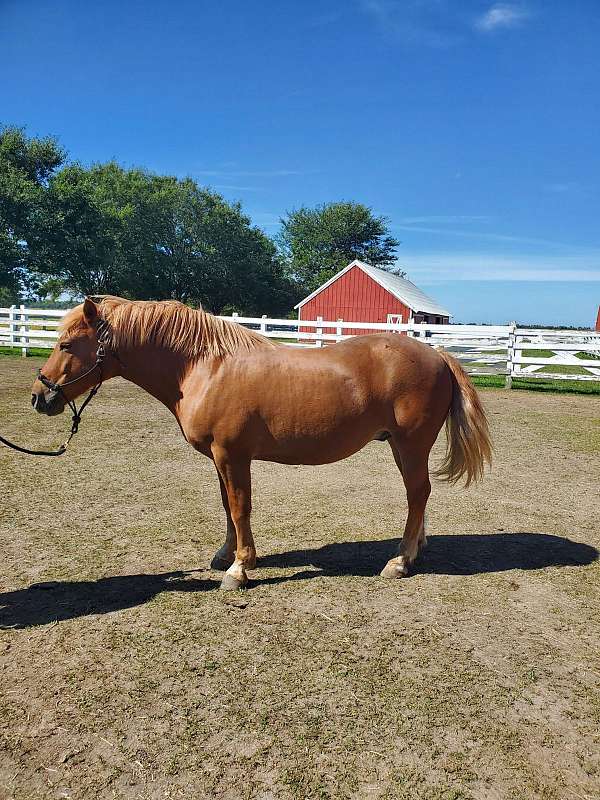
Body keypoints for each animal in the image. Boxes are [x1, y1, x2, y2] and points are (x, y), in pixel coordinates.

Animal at [30, 296, 492, 592]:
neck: (205, 366)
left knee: (417, 493)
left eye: (66, 344)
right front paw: (226, 554)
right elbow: (226, 506)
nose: (40, 397)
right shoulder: (220, 458)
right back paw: (414, 549)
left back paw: (400, 561)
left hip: (410, 444)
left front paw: (239, 569)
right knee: (420, 496)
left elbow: (240, 507)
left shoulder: (232, 455)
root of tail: (437, 354)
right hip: (402, 446)